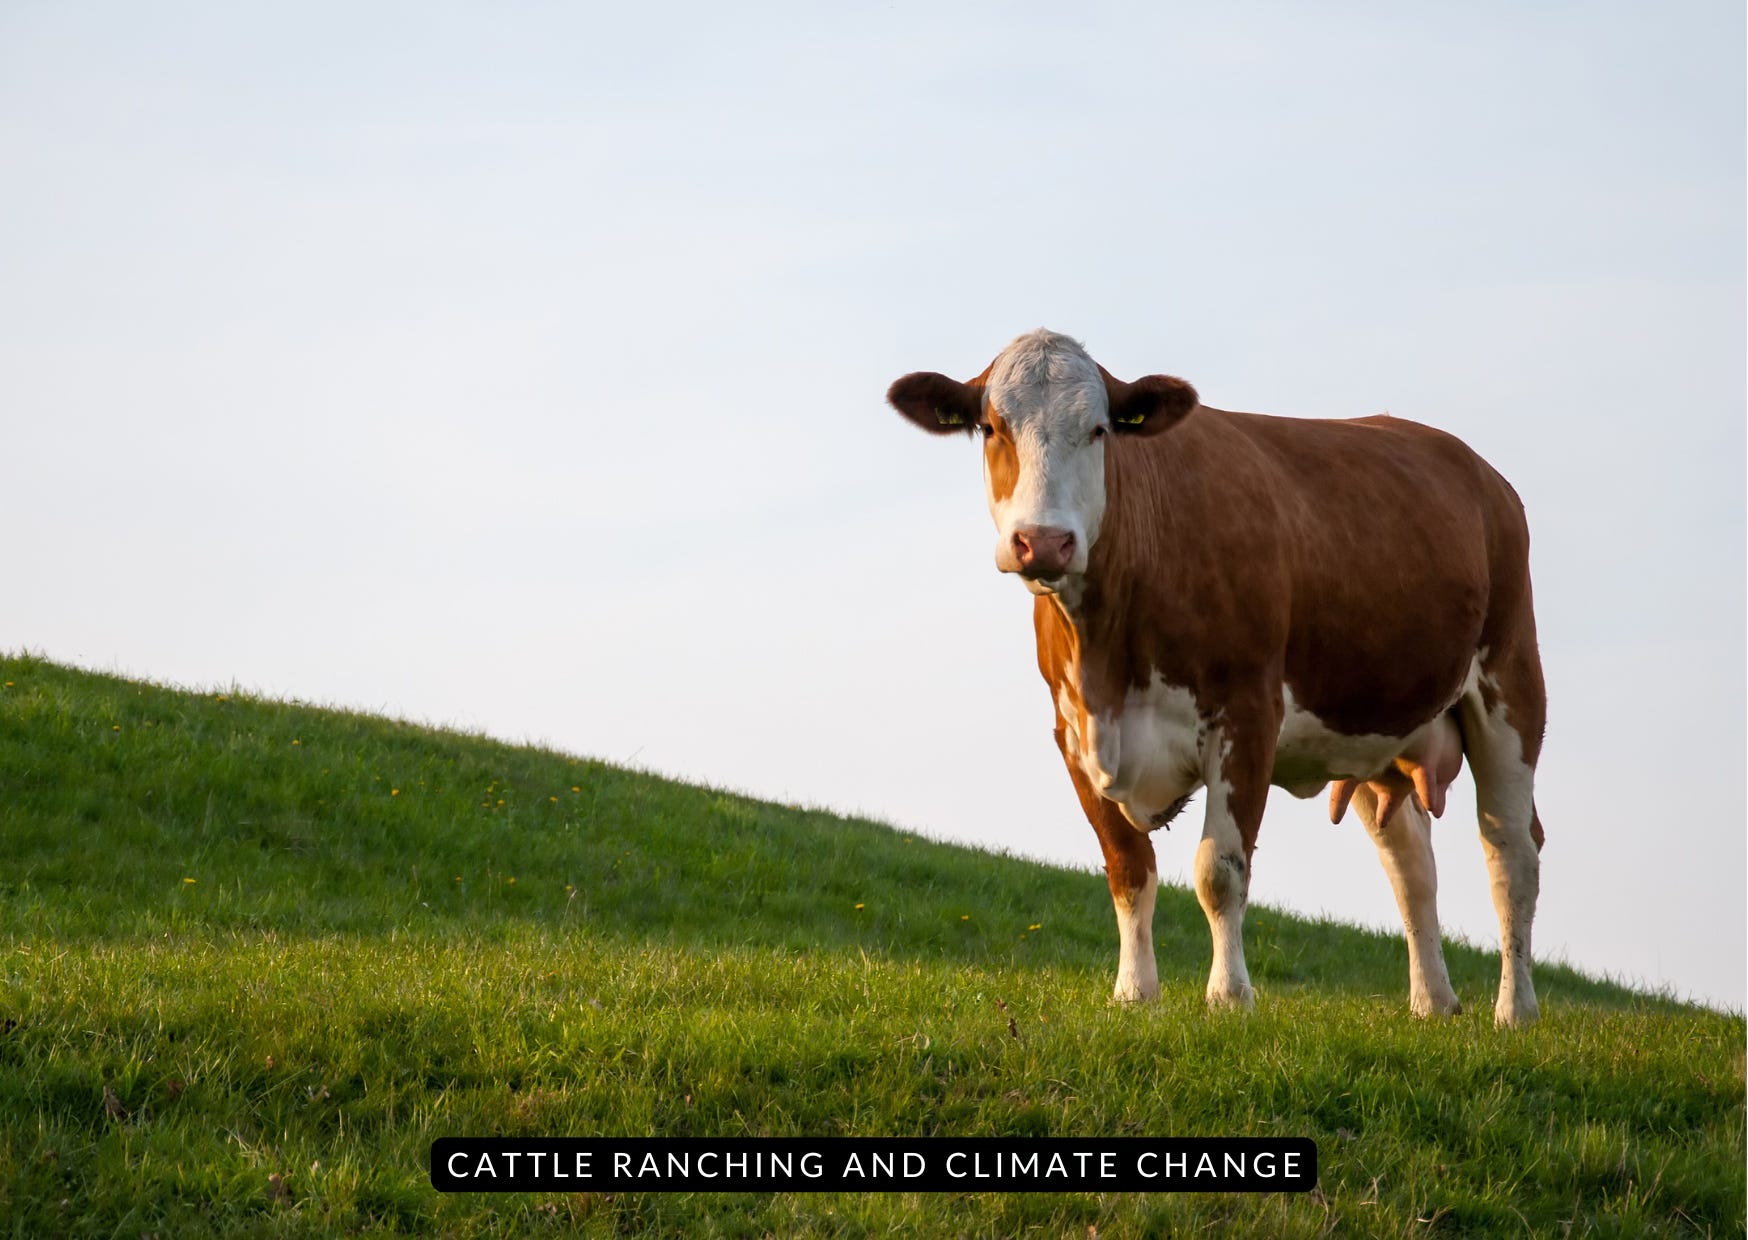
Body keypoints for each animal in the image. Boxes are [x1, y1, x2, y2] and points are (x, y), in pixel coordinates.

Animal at [886, 329, 1546, 1026]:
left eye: (1099, 430)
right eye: (992, 427)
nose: (1043, 542)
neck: (1108, 661)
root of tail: (1480, 472)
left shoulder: (1247, 715)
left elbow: (1218, 871)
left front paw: (1228, 995)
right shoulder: (1072, 733)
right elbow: (1127, 867)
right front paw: (1134, 991)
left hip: (1511, 685)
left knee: (1512, 853)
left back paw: (1515, 1010)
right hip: (1372, 727)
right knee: (1412, 865)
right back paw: (1433, 1002)